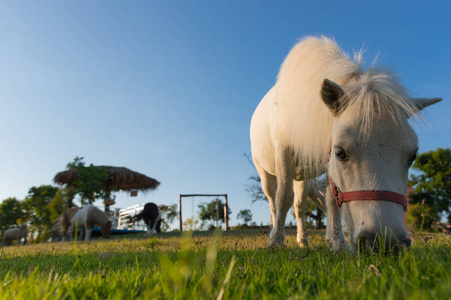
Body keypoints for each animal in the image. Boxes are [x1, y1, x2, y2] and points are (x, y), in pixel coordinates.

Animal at [252, 37, 444, 253]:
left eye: (413, 156)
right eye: (341, 153)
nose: (386, 242)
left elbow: (330, 199)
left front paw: (336, 243)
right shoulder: (285, 153)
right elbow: (283, 197)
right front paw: (276, 241)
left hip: (302, 175)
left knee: (300, 205)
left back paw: (303, 240)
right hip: (266, 173)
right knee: (274, 202)